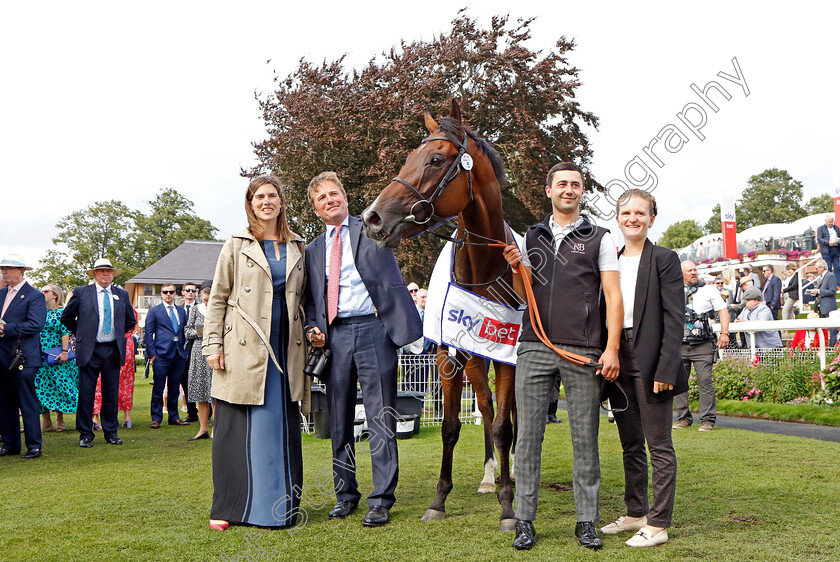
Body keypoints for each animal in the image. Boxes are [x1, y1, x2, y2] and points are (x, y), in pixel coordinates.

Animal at [362, 97, 520, 528]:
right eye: (408, 157)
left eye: (435, 159)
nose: (372, 218)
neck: (483, 272)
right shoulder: (449, 357)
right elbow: (450, 426)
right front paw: (439, 500)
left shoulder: (508, 358)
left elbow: (504, 427)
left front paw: (508, 505)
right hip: (474, 361)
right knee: (485, 406)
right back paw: (489, 475)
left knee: (511, 417)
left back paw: (511, 472)